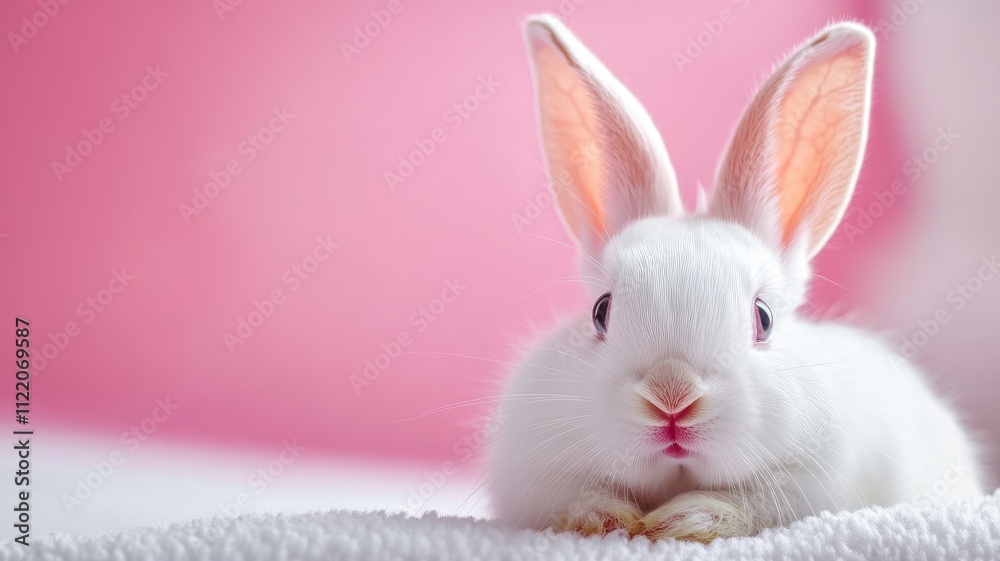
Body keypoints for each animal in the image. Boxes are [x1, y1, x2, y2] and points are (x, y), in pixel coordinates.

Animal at [489, 14, 986, 543]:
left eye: (763, 318)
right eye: (601, 311)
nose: (672, 398)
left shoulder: (814, 484)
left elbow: (754, 506)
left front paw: (685, 520)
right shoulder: (536, 472)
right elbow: (573, 498)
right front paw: (608, 519)